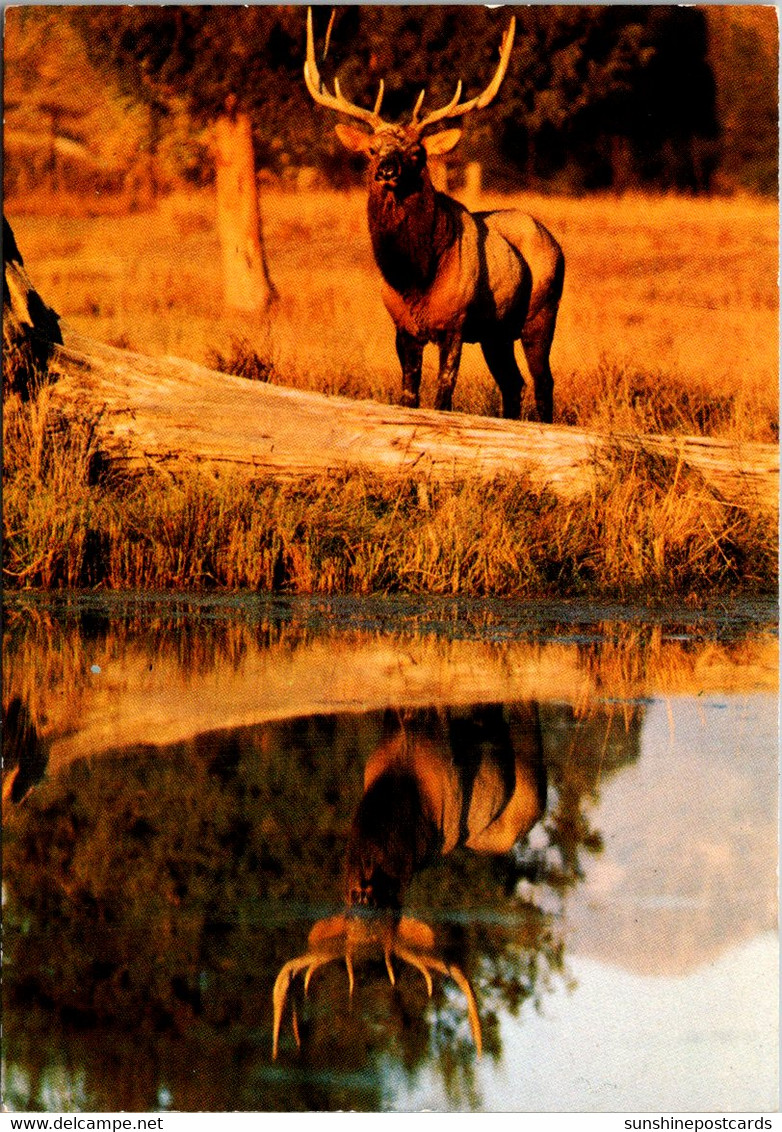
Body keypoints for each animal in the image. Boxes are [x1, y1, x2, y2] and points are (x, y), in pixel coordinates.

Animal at [303, 9, 565, 425]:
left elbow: (444, 397)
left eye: (417, 152)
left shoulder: (454, 323)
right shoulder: (403, 327)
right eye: (373, 149)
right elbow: (409, 395)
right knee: (513, 384)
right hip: (496, 333)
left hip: (541, 312)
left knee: (543, 383)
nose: (387, 170)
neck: (416, 280)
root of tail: (553, 240)